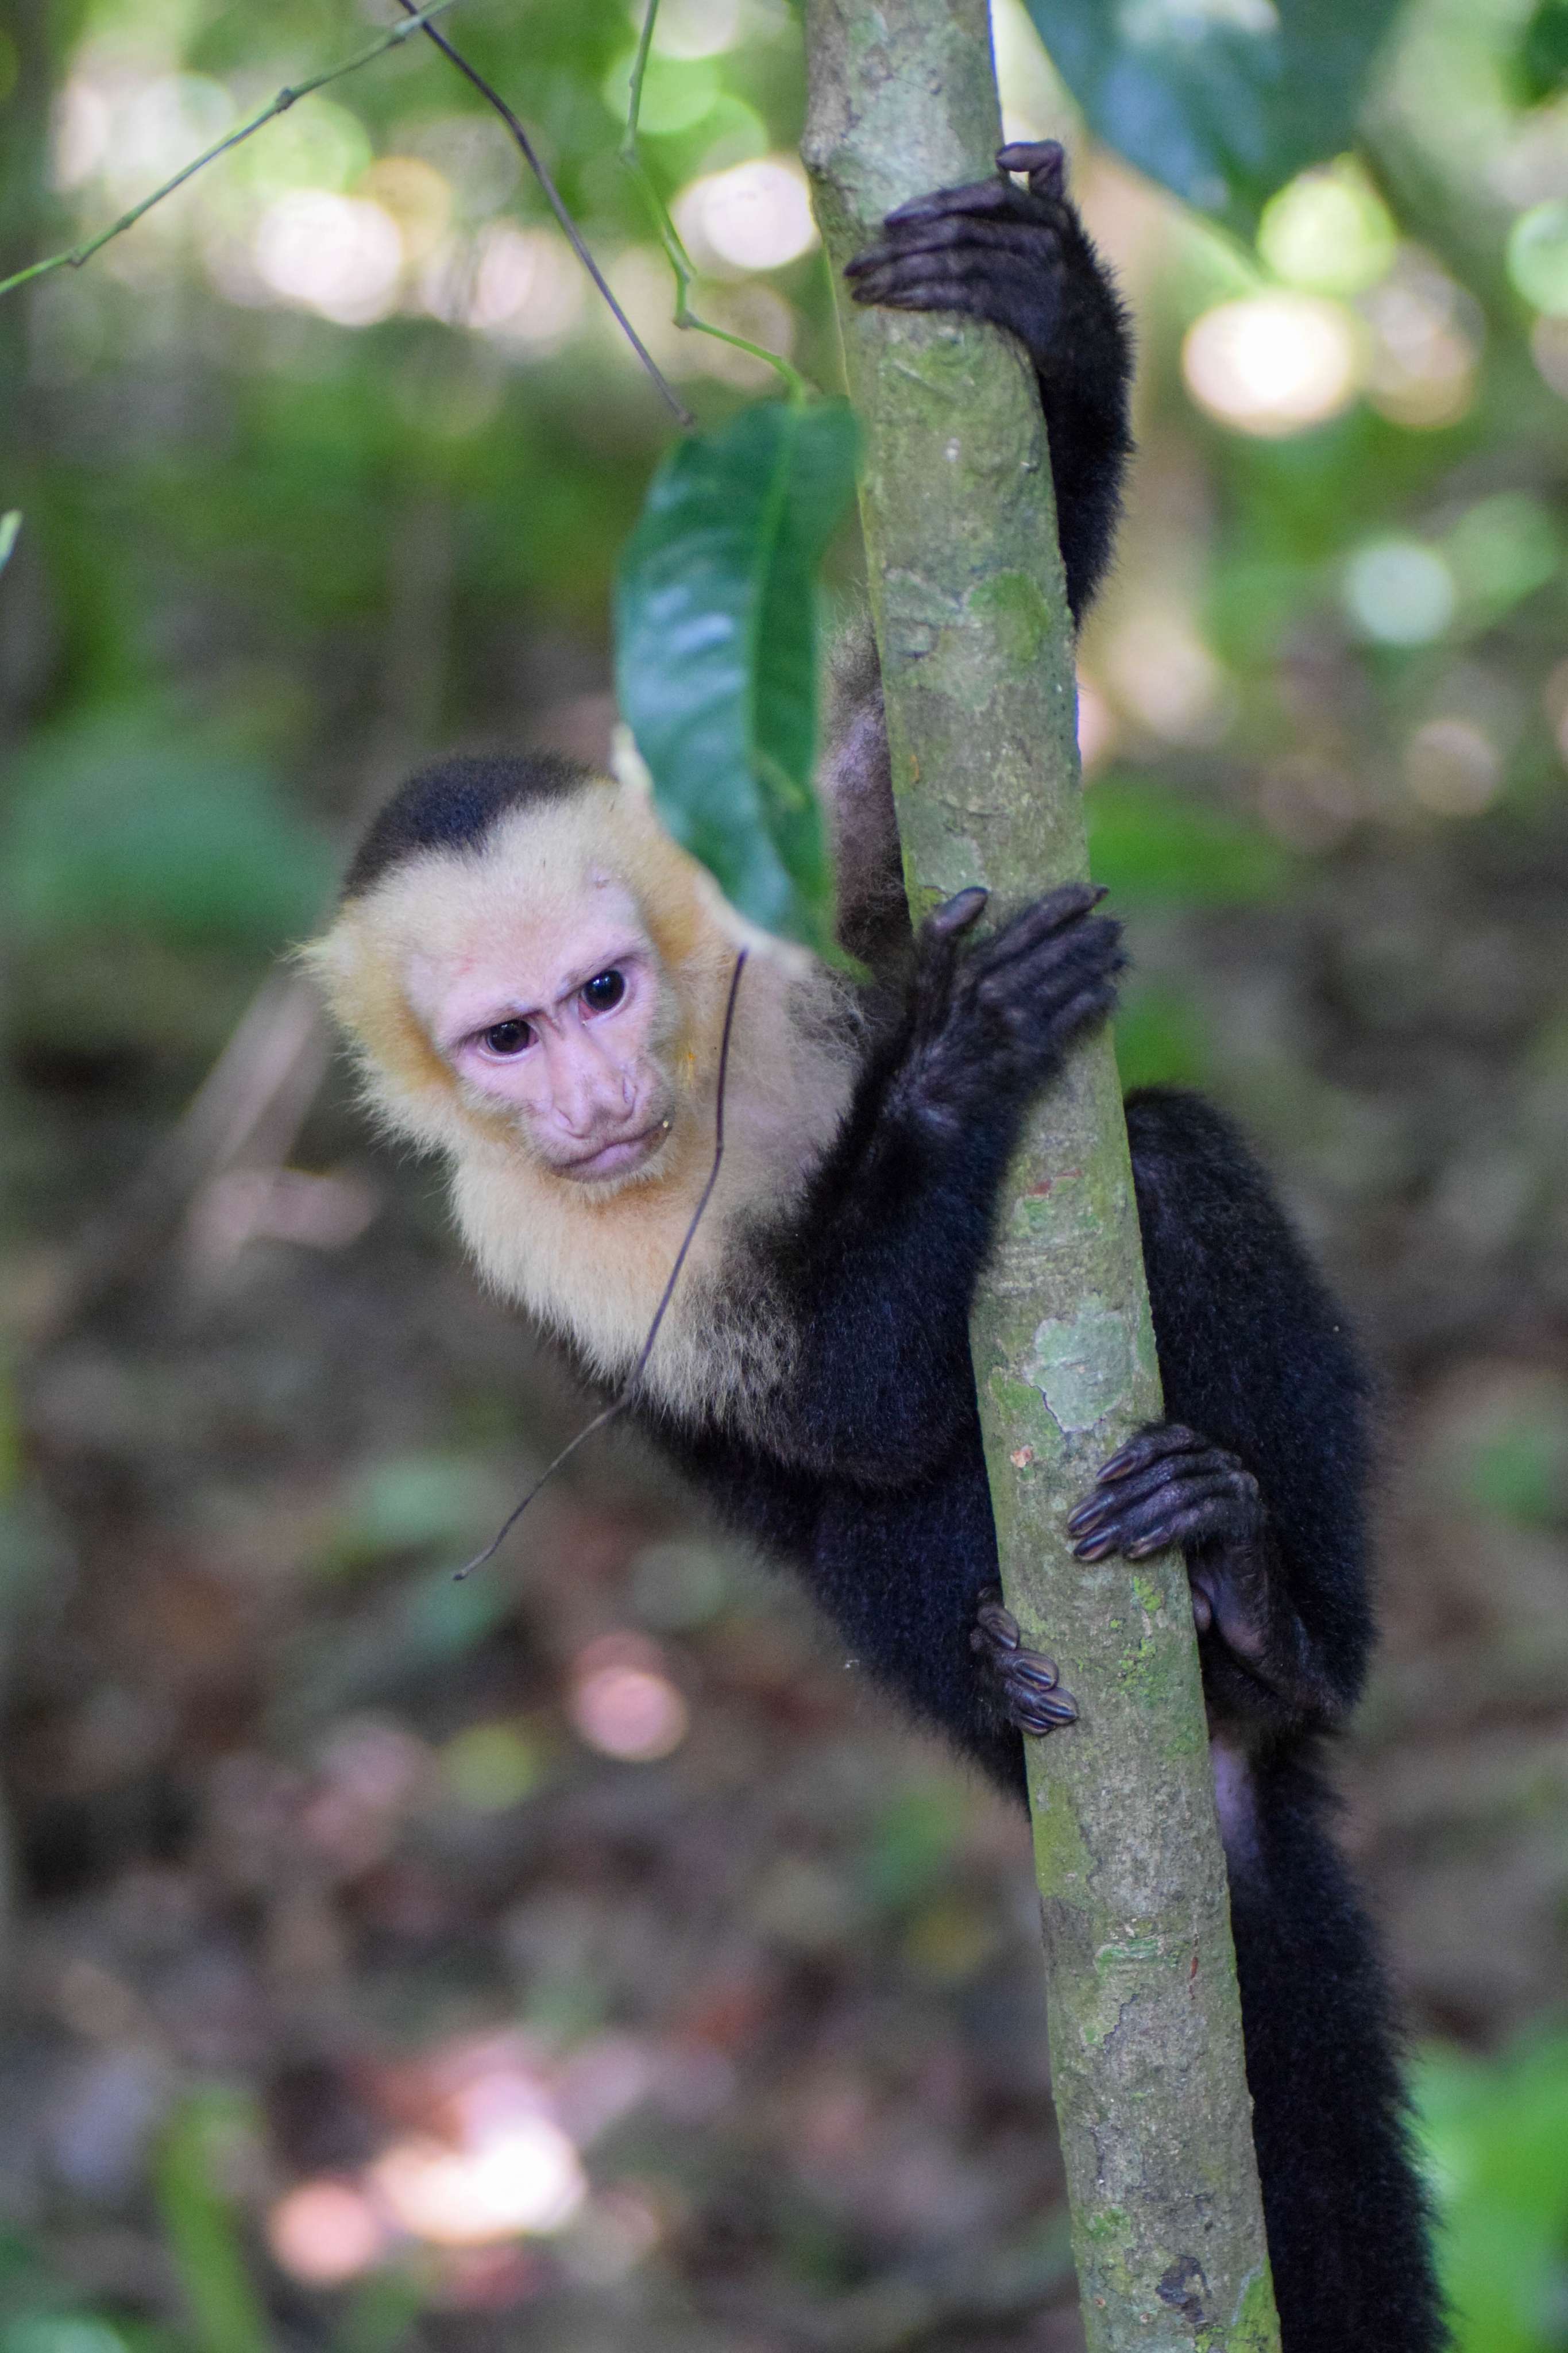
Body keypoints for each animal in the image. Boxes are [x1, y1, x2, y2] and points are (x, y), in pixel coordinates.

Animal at [304, 145, 1445, 2353]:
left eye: (601, 989)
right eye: (505, 1041)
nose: (592, 1093)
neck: (692, 1094)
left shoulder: (751, 921)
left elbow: (904, 796)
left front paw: (1046, 304)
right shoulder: (521, 1227)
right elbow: (843, 1414)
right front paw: (952, 1066)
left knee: (1173, 1164)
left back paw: (1271, 1619)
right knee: (868, 1531)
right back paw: (1066, 1666)